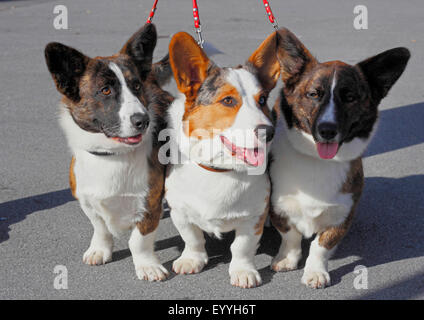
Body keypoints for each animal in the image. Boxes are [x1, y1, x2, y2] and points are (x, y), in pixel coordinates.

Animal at [45, 23, 174, 282]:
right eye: (105, 90)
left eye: (136, 87)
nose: (142, 120)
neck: (111, 154)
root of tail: (152, 78)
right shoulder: (85, 198)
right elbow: (100, 227)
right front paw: (99, 250)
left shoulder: (149, 201)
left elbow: (139, 240)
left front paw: (147, 266)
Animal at [163, 31, 282, 288]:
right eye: (228, 101)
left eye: (262, 100)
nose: (269, 132)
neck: (219, 168)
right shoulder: (180, 211)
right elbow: (192, 238)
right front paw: (192, 260)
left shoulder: (252, 217)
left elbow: (242, 247)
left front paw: (243, 271)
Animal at [268, 28, 410, 288]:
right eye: (313, 94)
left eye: (350, 97)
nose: (327, 130)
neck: (318, 161)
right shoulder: (278, 206)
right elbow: (290, 236)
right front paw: (286, 259)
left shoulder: (342, 215)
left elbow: (320, 246)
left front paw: (315, 272)